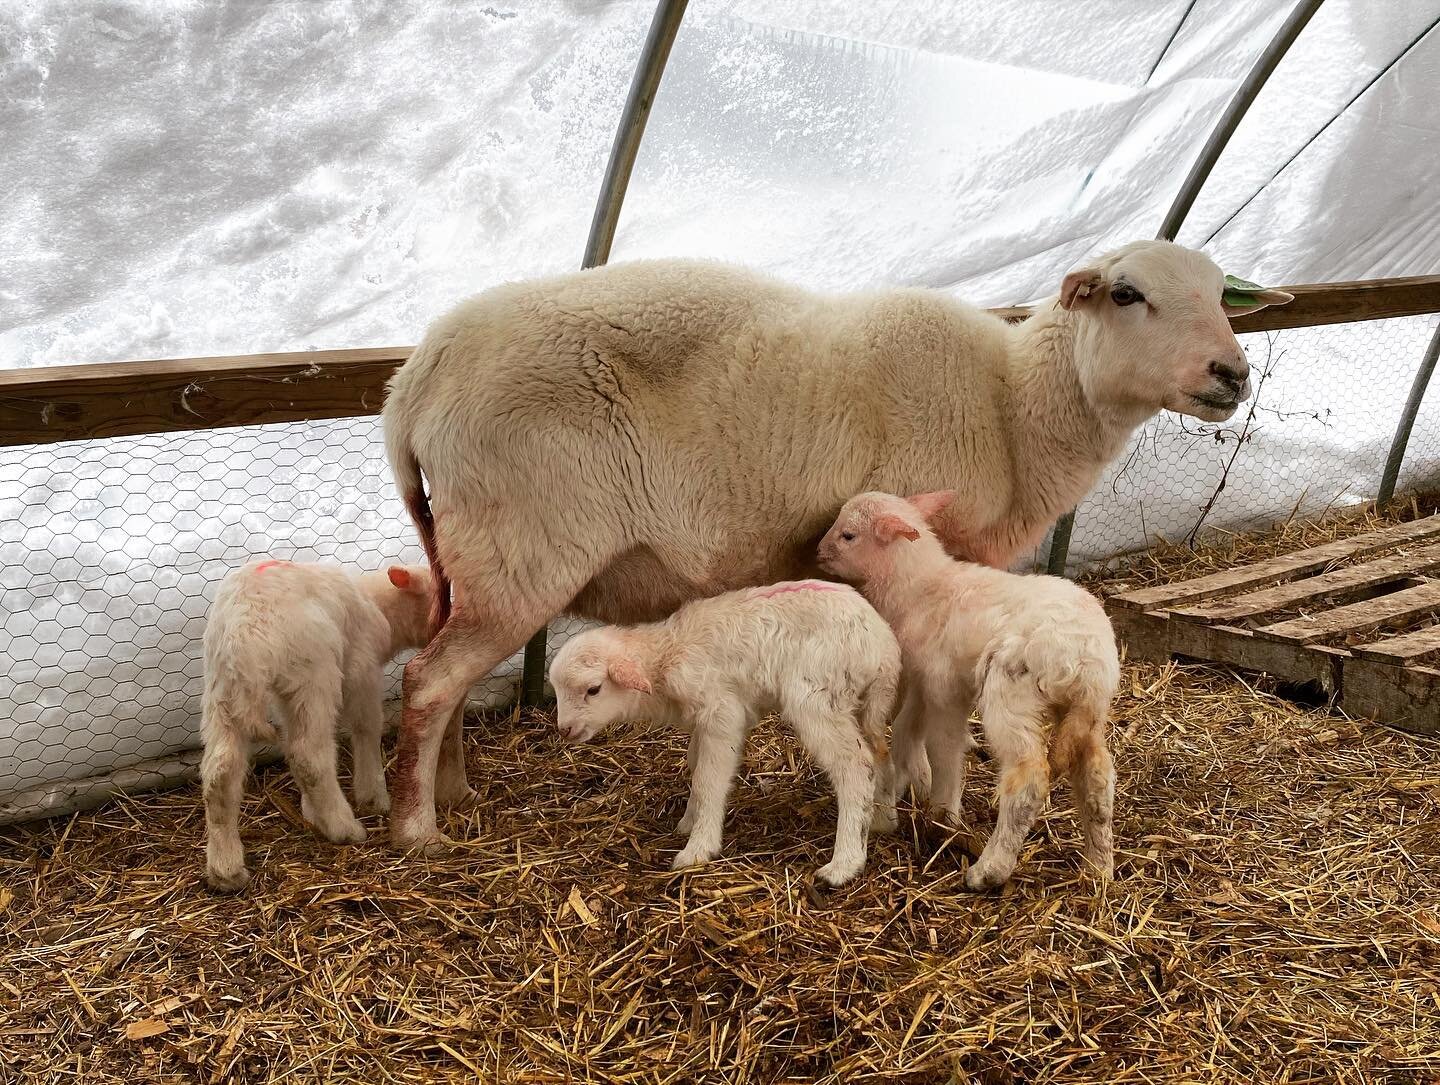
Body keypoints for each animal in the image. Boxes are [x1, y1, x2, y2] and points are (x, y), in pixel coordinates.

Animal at [197, 559, 452, 887]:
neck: (380, 606)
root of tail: (245, 629)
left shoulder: (285, 698)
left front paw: (310, 809)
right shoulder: (363, 669)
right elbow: (367, 726)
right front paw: (373, 798)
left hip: (223, 688)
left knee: (221, 772)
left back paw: (225, 869)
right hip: (312, 673)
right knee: (310, 756)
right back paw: (344, 828)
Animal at [377, 236, 1290, 847]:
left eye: (1220, 293)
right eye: (1127, 294)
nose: (1231, 374)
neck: (1012, 405)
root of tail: (413, 379)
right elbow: (924, 711)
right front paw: (917, 794)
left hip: (470, 553)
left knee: (445, 677)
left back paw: (454, 793)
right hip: (519, 544)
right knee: (429, 682)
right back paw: (417, 827)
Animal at [547, 579, 898, 881]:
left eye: (593, 689)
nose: (564, 730)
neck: (668, 652)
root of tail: (884, 647)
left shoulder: (721, 712)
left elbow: (708, 778)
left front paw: (698, 847)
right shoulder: (704, 721)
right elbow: (695, 765)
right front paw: (688, 821)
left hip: (817, 697)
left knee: (856, 767)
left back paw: (844, 864)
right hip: (866, 705)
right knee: (880, 754)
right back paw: (881, 821)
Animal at [823, 489, 1123, 887]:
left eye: (849, 535)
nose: (818, 552)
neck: (918, 588)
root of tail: (1084, 656)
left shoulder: (943, 688)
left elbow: (943, 747)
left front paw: (942, 814)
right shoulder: (922, 681)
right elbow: (906, 731)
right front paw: (906, 786)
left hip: (1011, 695)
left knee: (1028, 781)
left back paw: (989, 871)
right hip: (1089, 710)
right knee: (1097, 776)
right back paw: (1098, 865)